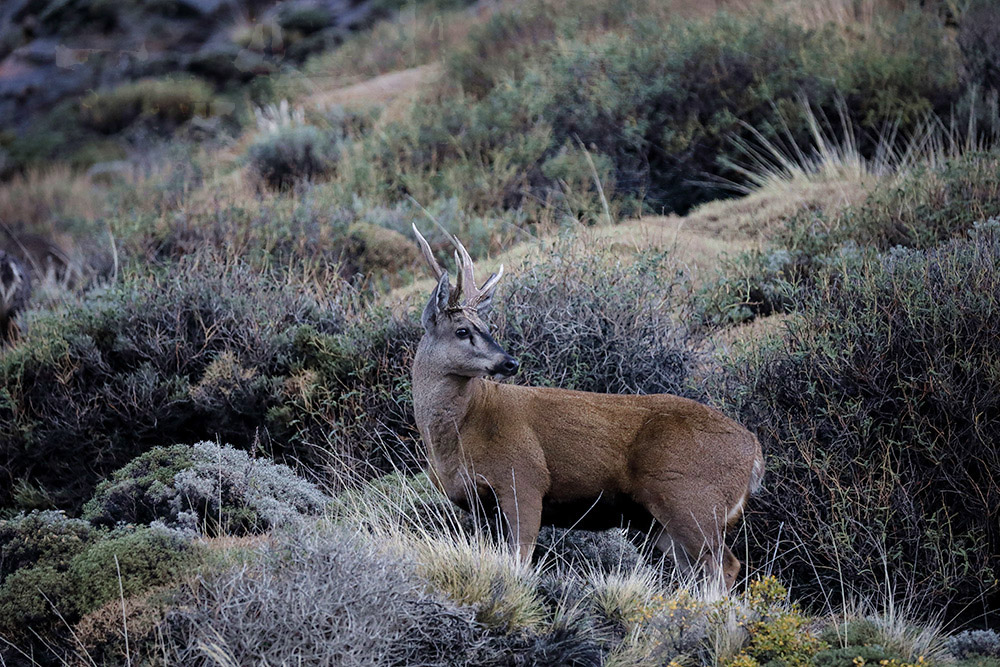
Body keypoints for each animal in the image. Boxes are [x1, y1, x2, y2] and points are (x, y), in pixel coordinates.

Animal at [410, 227, 760, 588]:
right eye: (462, 330)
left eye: (487, 328)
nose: (510, 362)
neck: (461, 431)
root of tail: (754, 450)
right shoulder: (476, 506)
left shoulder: (524, 480)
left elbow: (520, 561)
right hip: (660, 521)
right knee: (696, 571)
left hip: (692, 500)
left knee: (725, 565)